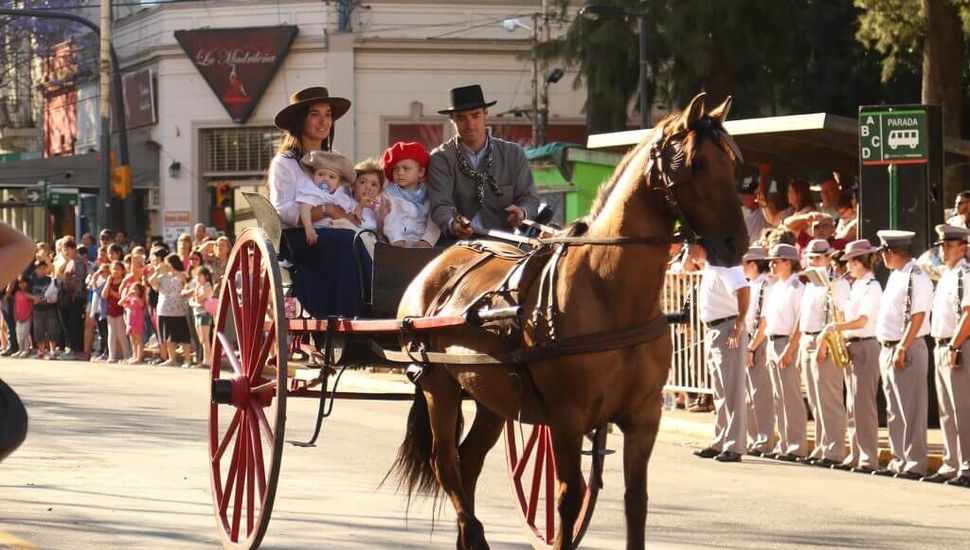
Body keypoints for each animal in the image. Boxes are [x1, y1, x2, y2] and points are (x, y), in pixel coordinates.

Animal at [390, 92, 744, 548]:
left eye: (733, 162)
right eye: (697, 163)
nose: (737, 243)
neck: (610, 292)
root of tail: (435, 268)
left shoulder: (644, 417)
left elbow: (636, 502)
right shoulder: (567, 419)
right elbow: (568, 498)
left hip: (491, 396)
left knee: (467, 463)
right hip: (440, 385)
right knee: (446, 464)